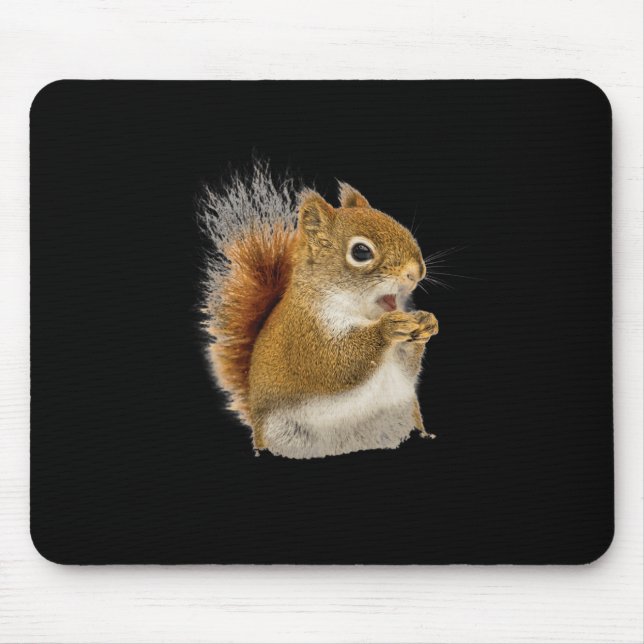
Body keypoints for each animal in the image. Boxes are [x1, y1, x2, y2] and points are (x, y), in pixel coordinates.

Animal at [198, 161, 438, 459]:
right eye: (361, 252)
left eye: (397, 224)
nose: (416, 272)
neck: (361, 313)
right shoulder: (306, 336)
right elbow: (336, 362)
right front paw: (387, 330)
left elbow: (405, 367)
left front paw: (427, 322)